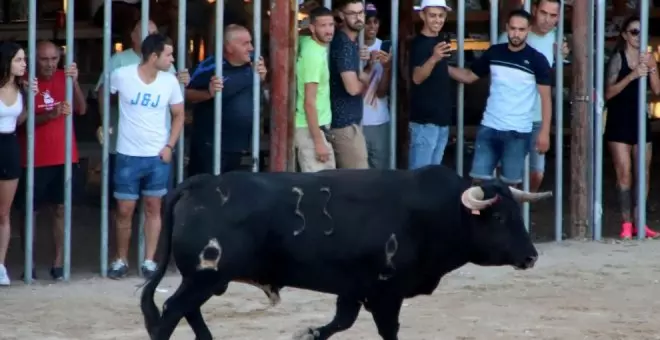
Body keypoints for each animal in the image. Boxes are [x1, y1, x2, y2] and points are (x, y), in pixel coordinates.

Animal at [139, 164, 552, 338]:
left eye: (516, 213)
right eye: (498, 216)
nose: (531, 256)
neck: (434, 212)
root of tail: (198, 183)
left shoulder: (354, 289)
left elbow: (342, 322)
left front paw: (309, 333)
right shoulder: (385, 292)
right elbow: (387, 330)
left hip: (206, 279)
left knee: (185, 311)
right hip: (204, 277)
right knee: (171, 312)